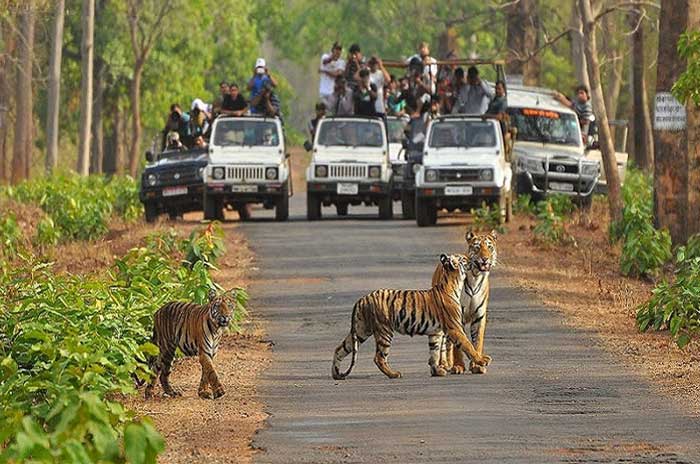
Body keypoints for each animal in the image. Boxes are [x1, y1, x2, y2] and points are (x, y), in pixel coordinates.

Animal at [330, 254, 490, 380]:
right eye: (463, 259)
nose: (472, 259)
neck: (453, 283)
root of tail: (363, 298)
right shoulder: (455, 328)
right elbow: (468, 345)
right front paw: (482, 360)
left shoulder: (435, 333)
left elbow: (434, 352)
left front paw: (436, 371)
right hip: (384, 330)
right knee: (379, 357)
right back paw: (394, 374)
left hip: (361, 330)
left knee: (340, 348)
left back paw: (336, 374)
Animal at [432, 230, 498, 376]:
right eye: (477, 247)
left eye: (489, 247)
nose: (485, 259)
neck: (476, 276)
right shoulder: (457, 316)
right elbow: (459, 345)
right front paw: (458, 366)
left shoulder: (479, 316)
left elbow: (477, 342)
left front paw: (477, 366)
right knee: (444, 342)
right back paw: (444, 364)